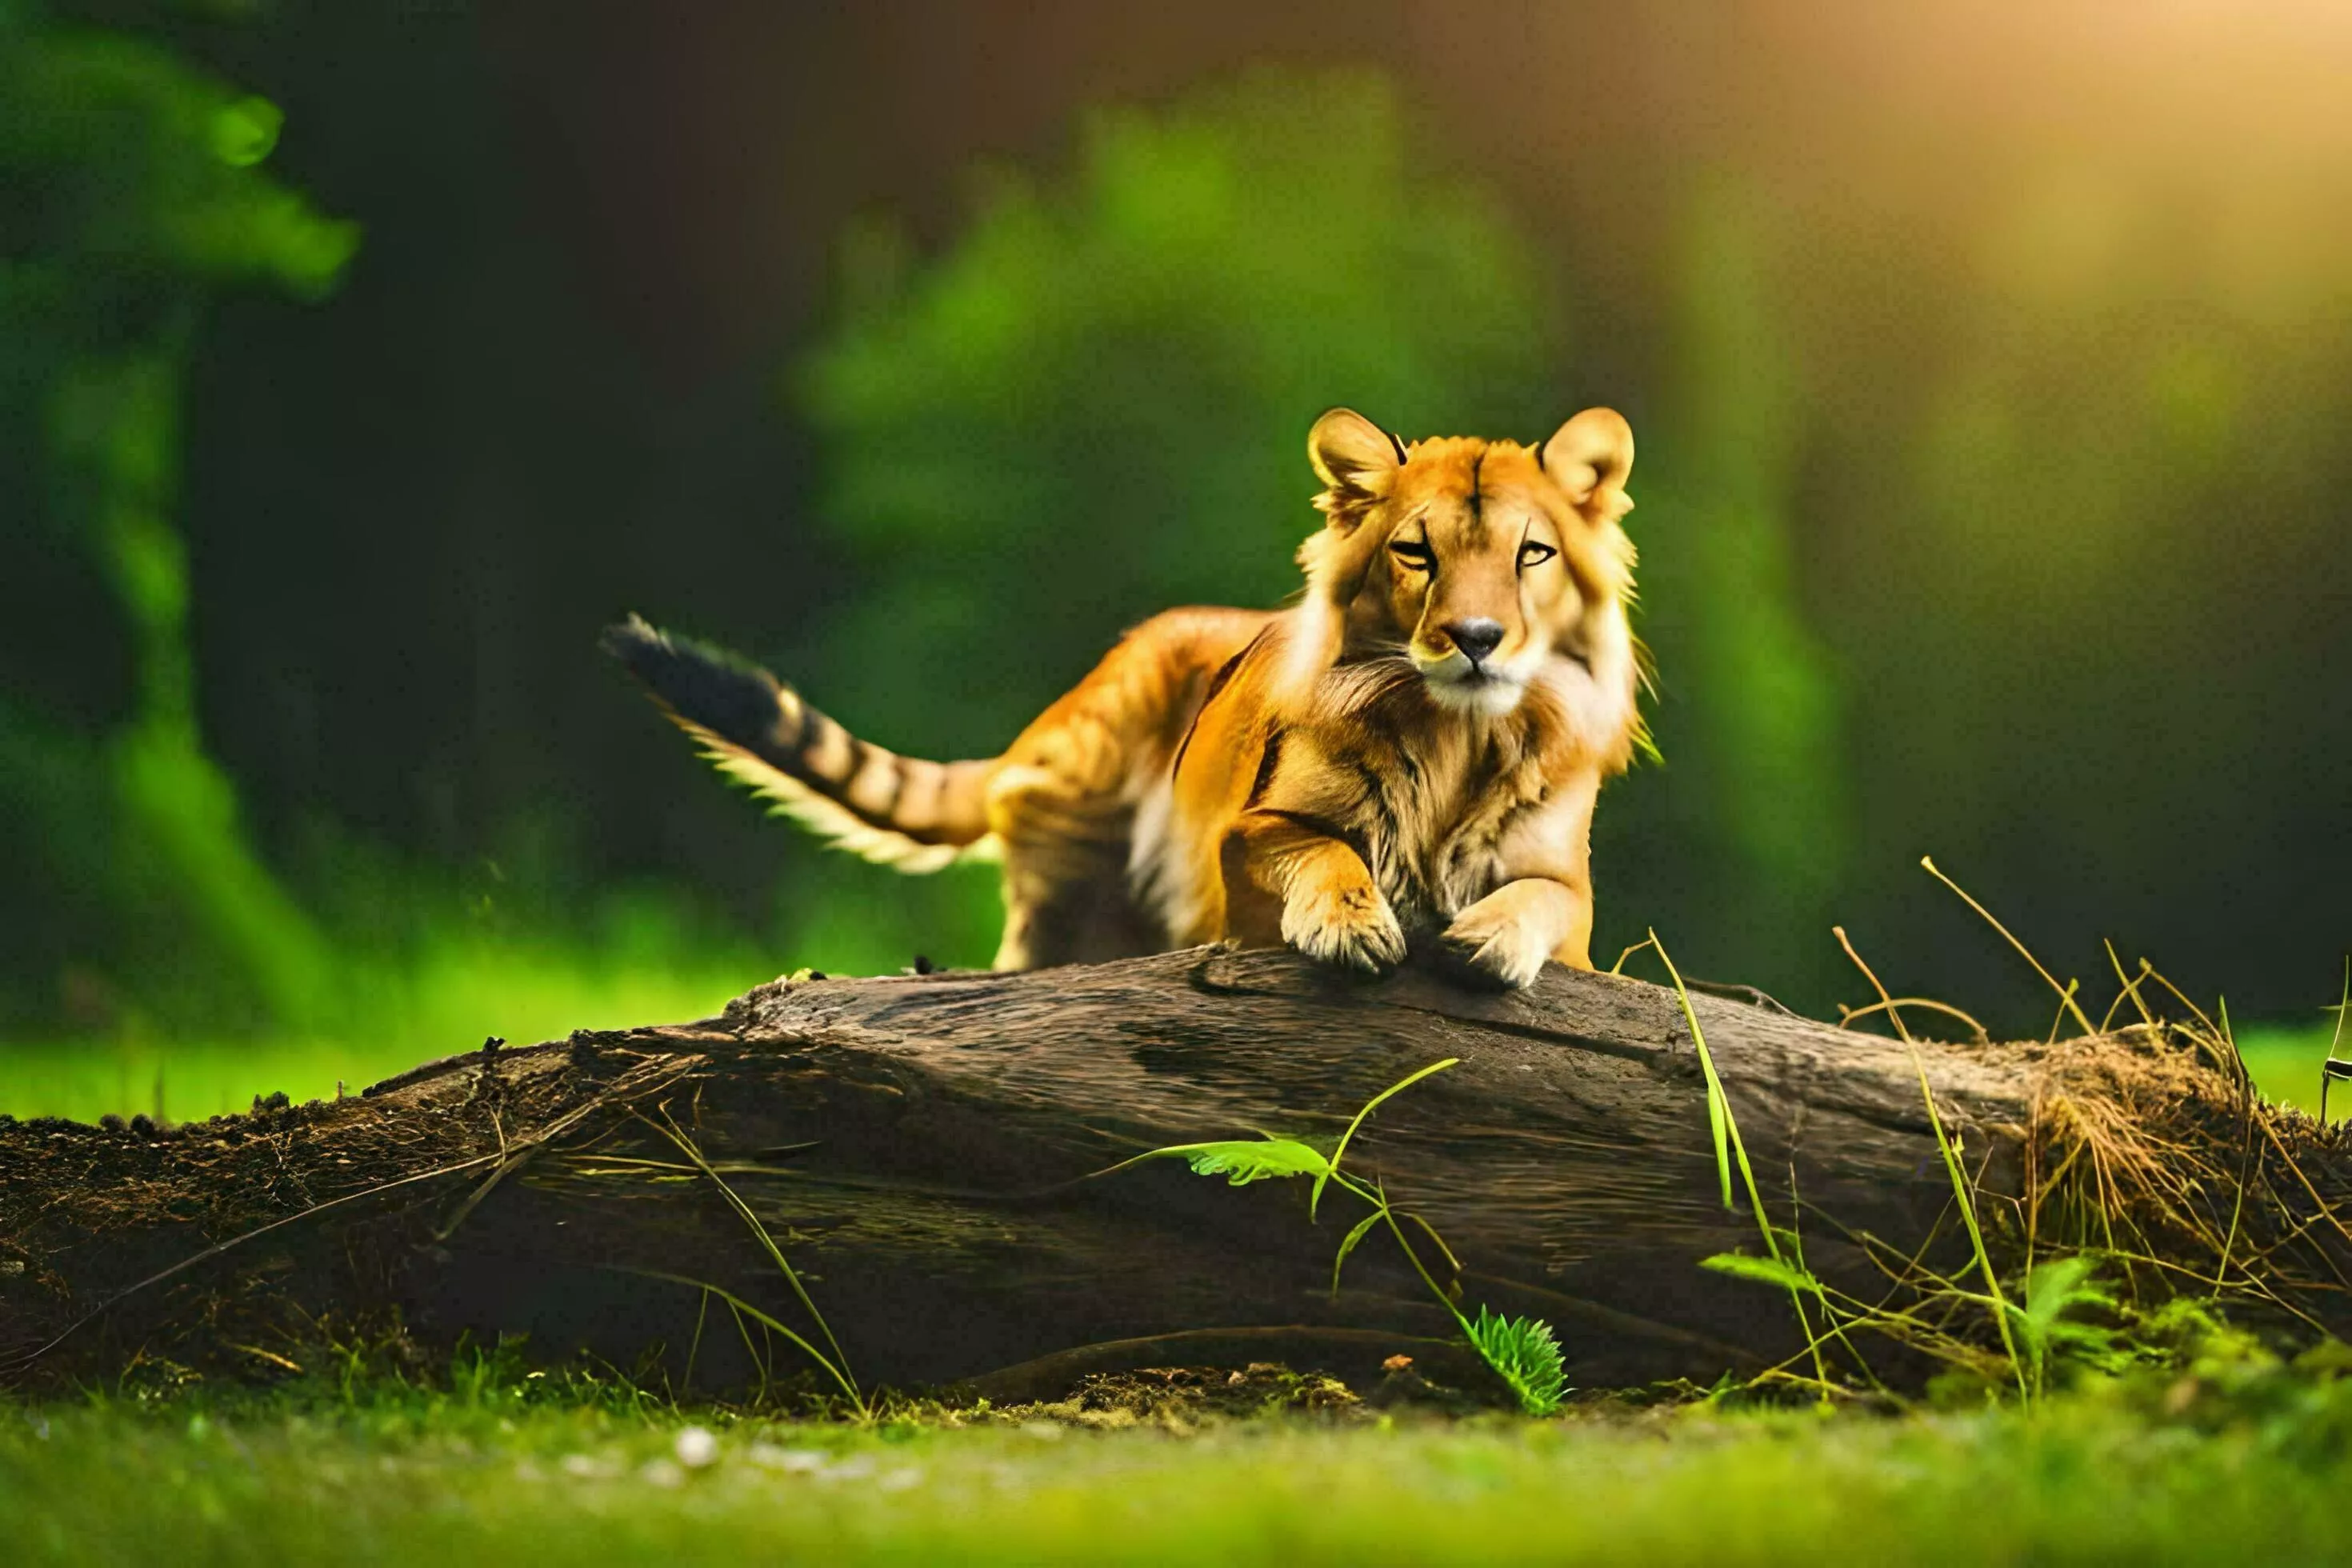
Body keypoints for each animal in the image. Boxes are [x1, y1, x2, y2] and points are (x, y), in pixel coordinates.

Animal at [602, 405, 1643, 989]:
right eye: (1416, 552)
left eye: (1531, 553)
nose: (1476, 639)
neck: (1456, 736)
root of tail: (1087, 683)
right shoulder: (1248, 841)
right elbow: (1321, 851)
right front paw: (1353, 927)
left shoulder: (1574, 893)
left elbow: (1542, 899)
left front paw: (1484, 939)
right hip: (1068, 879)